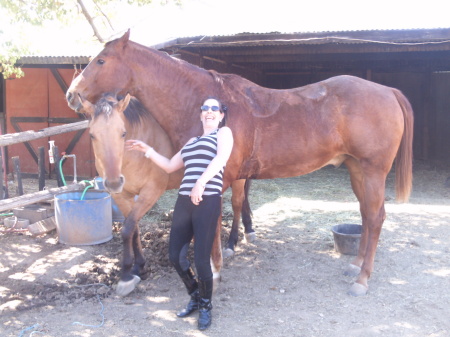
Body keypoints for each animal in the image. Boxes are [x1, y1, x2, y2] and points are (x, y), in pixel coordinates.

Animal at [65, 30, 414, 296]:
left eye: (101, 60)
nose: (72, 94)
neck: (208, 103)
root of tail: (388, 90)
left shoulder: (216, 180)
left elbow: (213, 224)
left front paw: (215, 272)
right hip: (357, 169)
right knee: (367, 214)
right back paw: (355, 265)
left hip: (373, 170)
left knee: (376, 217)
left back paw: (362, 279)